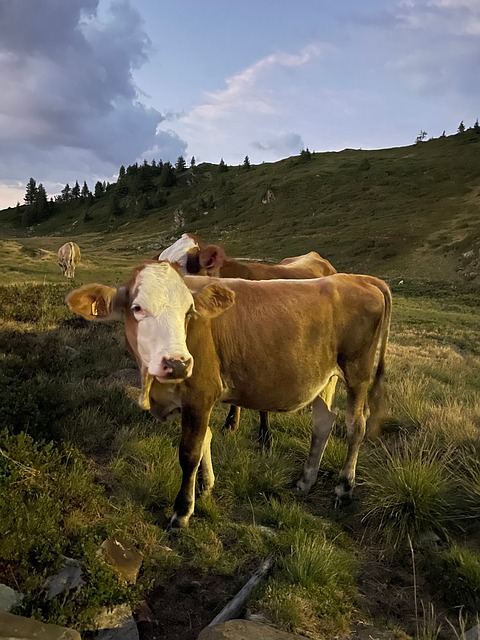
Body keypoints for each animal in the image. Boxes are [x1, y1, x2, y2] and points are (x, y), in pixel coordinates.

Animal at [66, 261, 392, 529]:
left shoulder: (200, 393)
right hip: (326, 376)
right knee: (323, 422)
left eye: (189, 312)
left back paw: (344, 487)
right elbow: (206, 439)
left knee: (355, 425)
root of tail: (358, 278)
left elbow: (190, 452)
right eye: (137, 308)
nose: (177, 363)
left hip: (358, 371)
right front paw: (206, 486)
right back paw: (306, 479)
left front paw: (182, 512)